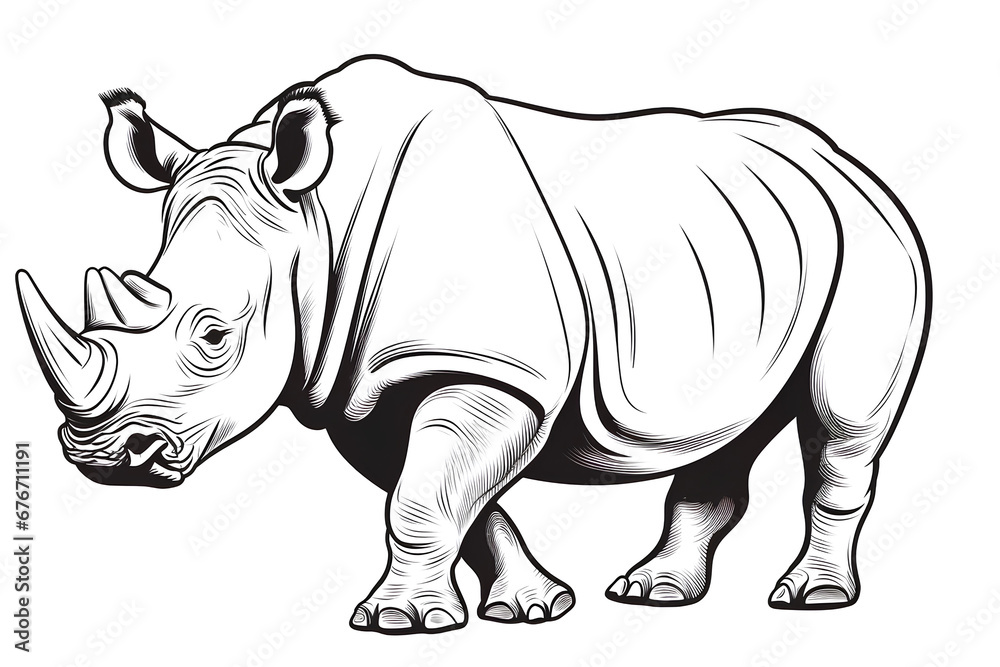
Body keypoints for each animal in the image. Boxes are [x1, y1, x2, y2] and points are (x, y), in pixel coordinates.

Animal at [16, 55, 930, 634]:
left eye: (213, 335)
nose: (104, 457)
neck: (315, 223)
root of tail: (844, 160)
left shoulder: (491, 367)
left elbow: (423, 496)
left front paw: (397, 622)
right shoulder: (373, 384)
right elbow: (451, 494)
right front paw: (533, 607)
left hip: (873, 238)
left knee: (841, 421)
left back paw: (811, 598)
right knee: (730, 426)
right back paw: (653, 592)